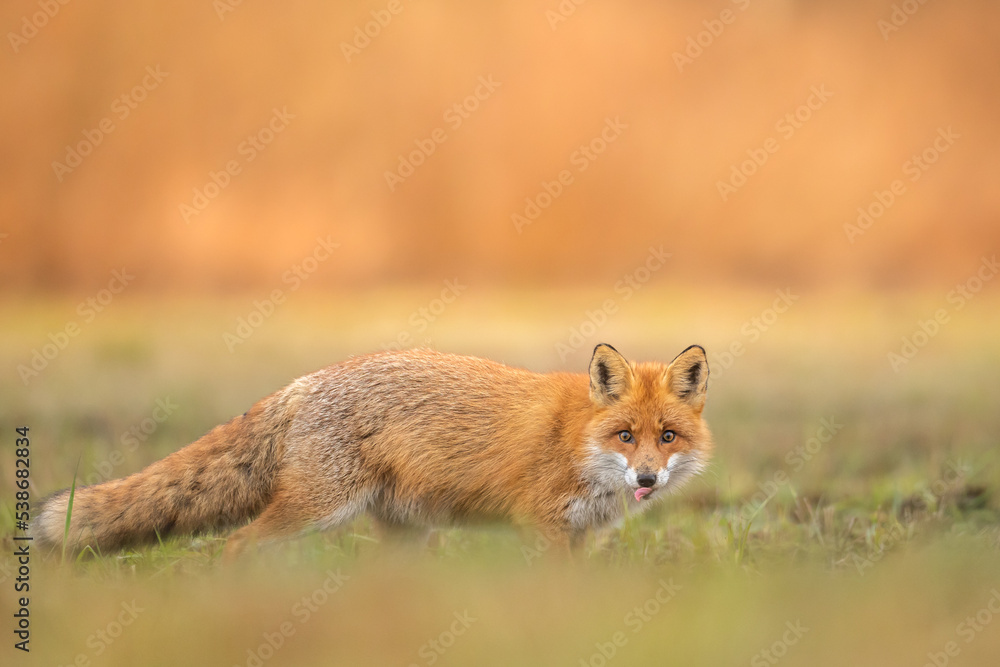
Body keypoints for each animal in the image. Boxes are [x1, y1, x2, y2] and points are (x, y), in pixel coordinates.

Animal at [34, 343, 712, 558]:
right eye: (625, 436)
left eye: (666, 438)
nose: (646, 478)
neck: (576, 443)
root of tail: (305, 380)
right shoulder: (541, 527)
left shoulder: (579, 538)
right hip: (315, 509)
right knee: (236, 544)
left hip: (404, 534)